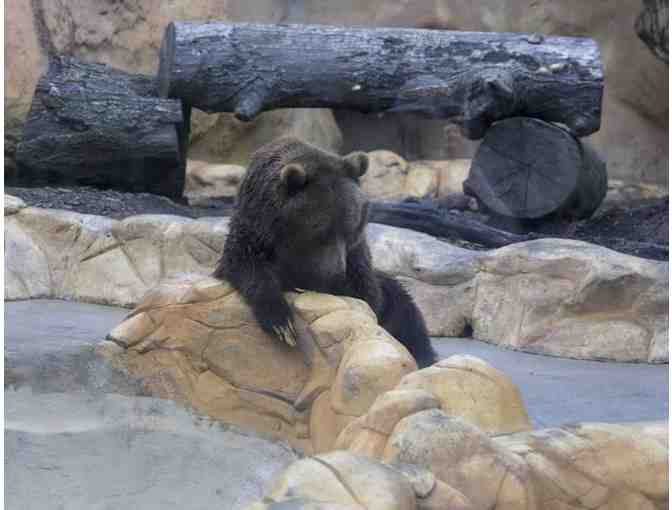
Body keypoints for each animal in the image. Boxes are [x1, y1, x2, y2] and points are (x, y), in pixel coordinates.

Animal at [213, 135, 438, 366]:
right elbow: (245, 264)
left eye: (350, 229)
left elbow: (366, 295)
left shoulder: (356, 257)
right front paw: (283, 324)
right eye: (320, 232)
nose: (336, 272)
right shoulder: (256, 229)